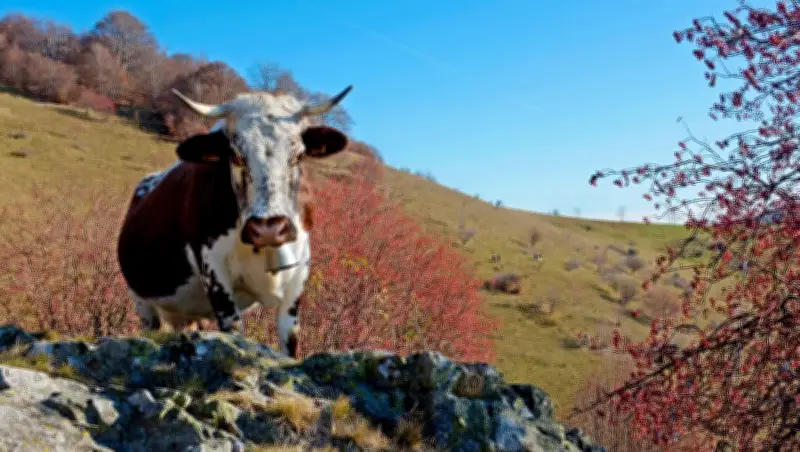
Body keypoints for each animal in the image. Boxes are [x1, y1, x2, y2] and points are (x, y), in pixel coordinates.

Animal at [116, 85, 354, 358]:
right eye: (236, 155)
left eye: (298, 155)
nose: (268, 228)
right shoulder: (215, 272)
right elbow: (233, 331)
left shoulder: (298, 273)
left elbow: (290, 339)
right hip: (142, 300)